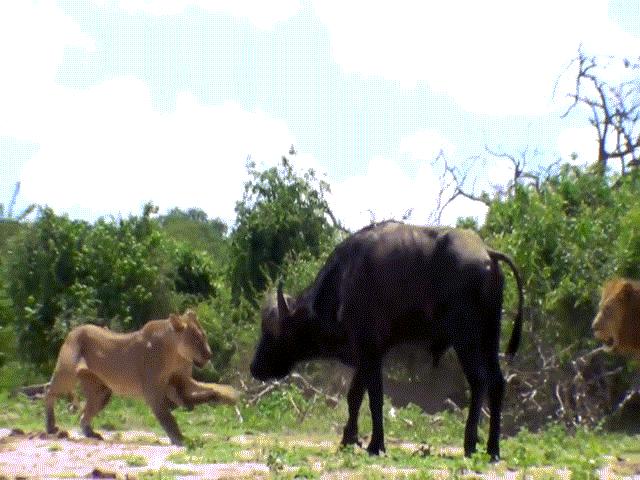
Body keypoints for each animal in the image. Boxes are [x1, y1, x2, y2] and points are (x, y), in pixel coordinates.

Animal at [248, 221, 524, 462]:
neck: (342, 283)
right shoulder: (366, 354)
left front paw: (375, 444)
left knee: (479, 381)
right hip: (490, 336)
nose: (254, 368)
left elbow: (375, 397)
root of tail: (487, 253)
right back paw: (492, 449)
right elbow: (354, 396)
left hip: (466, 338)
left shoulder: (369, 350)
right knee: (497, 382)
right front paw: (348, 439)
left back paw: (470, 444)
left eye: (274, 332)